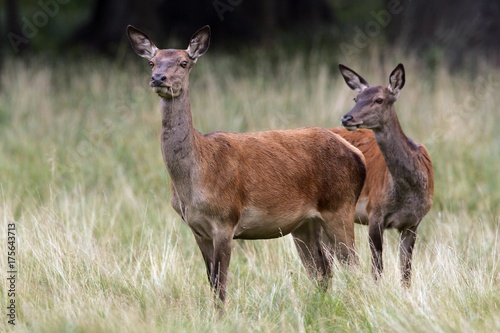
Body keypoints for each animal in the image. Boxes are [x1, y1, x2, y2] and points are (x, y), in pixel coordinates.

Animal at [126, 24, 368, 308]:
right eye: (152, 62)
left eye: (184, 62)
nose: (158, 78)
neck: (193, 180)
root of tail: (357, 154)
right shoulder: (197, 229)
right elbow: (211, 281)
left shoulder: (226, 219)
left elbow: (221, 285)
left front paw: (221, 314)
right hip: (305, 224)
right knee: (323, 271)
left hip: (340, 207)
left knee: (353, 266)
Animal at [332, 63, 434, 286]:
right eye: (356, 98)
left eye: (379, 99)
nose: (346, 118)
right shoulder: (374, 214)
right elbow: (377, 270)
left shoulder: (413, 223)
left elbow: (406, 273)